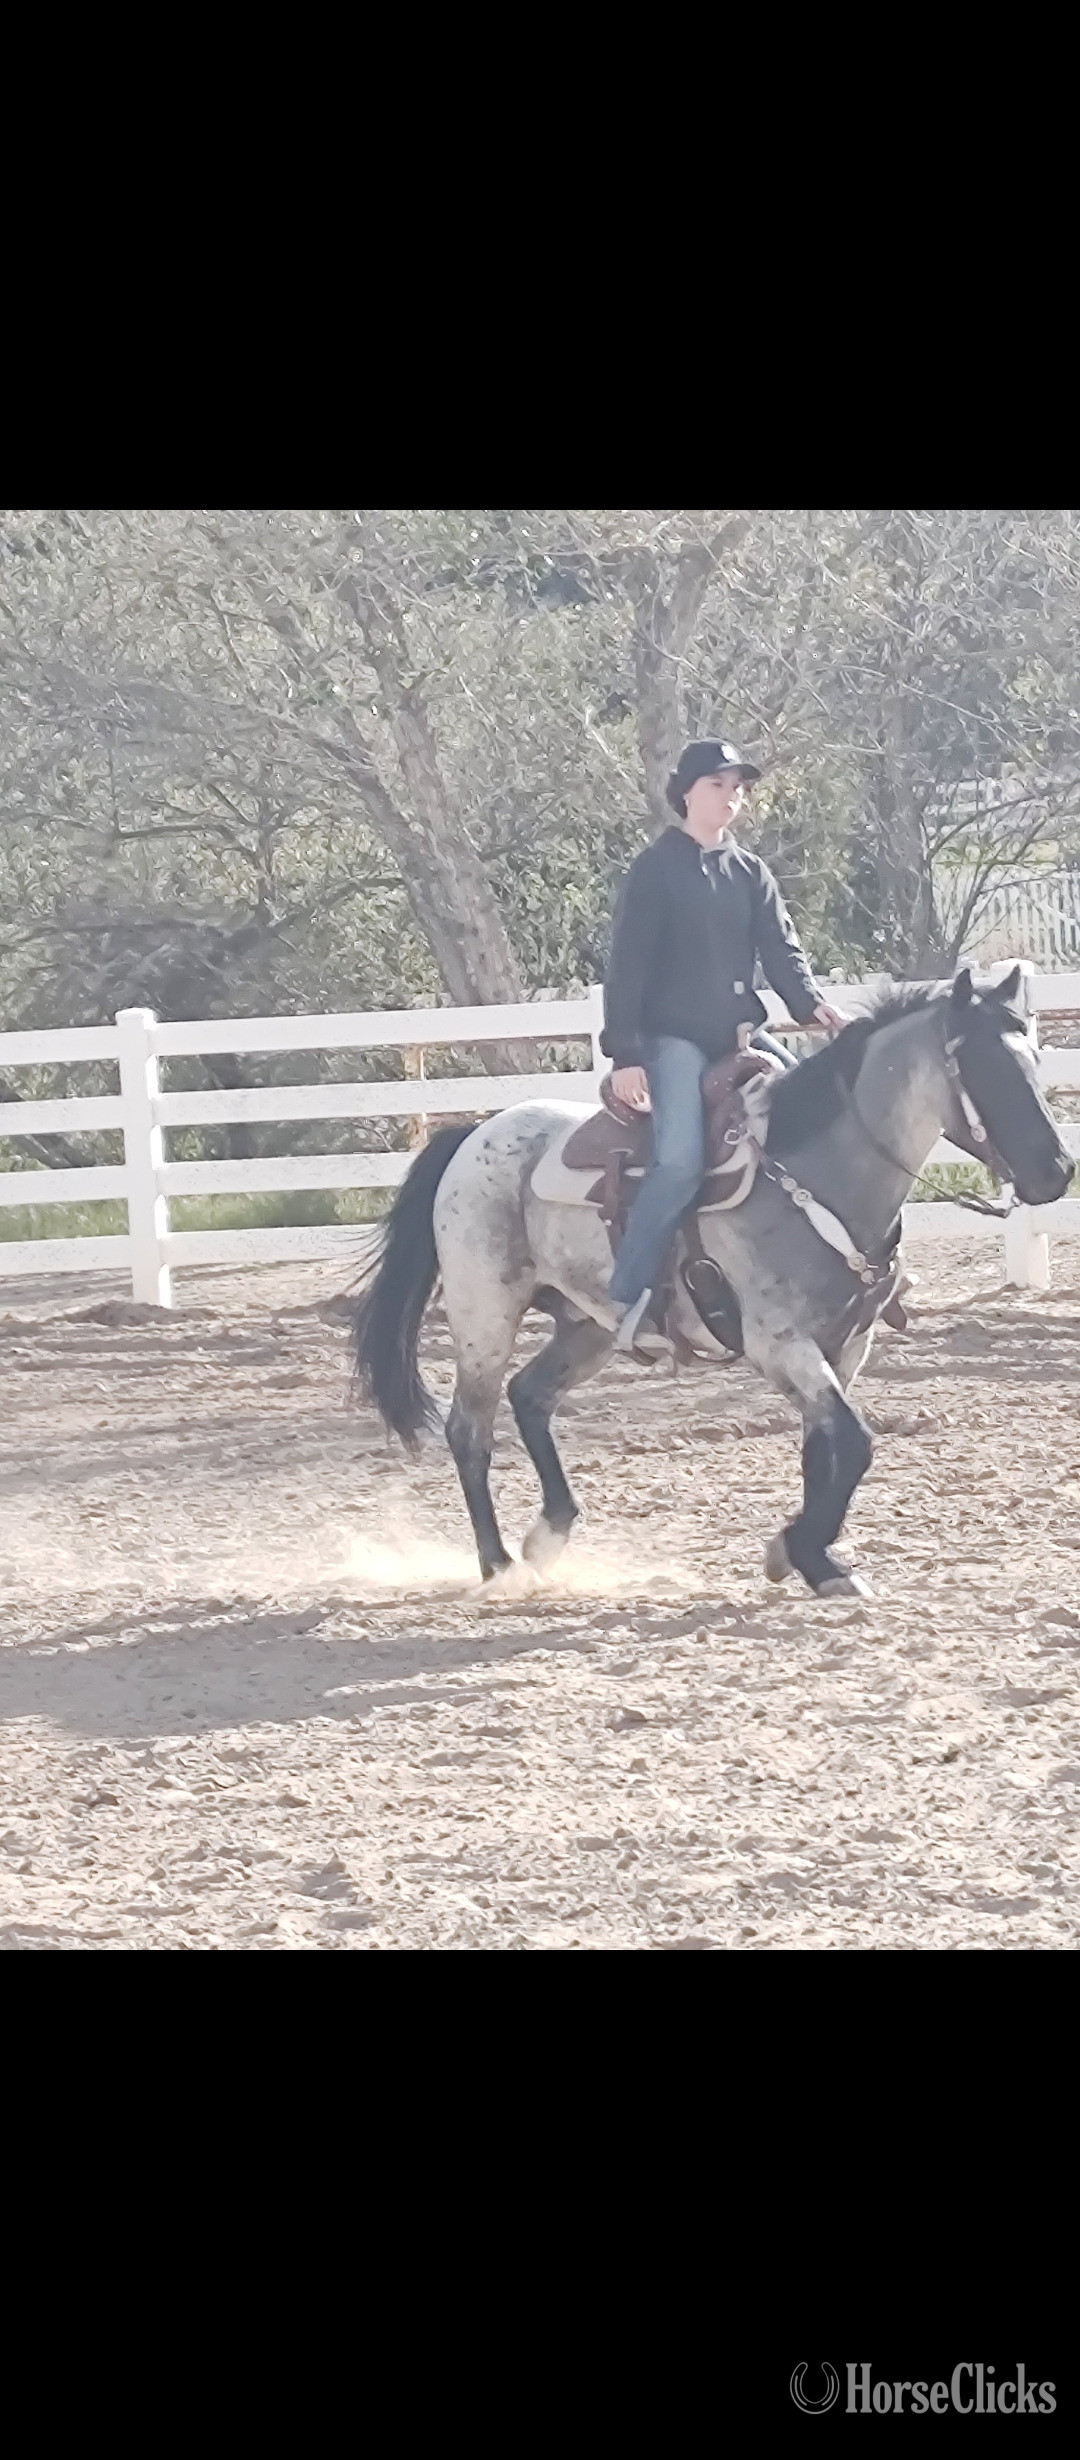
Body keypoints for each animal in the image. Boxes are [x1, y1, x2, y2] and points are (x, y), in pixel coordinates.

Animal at [353, 967, 1072, 1600]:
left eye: (1035, 1058)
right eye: (985, 1067)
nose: (1057, 1172)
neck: (816, 1176)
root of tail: (475, 1132)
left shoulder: (844, 1347)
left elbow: (825, 1450)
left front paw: (803, 1556)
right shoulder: (778, 1344)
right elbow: (855, 1443)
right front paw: (806, 1553)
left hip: (587, 1326)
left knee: (530, 1397)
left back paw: (547, 1536)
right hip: (485, 1315)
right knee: (469, 1430)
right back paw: (498, 1566)